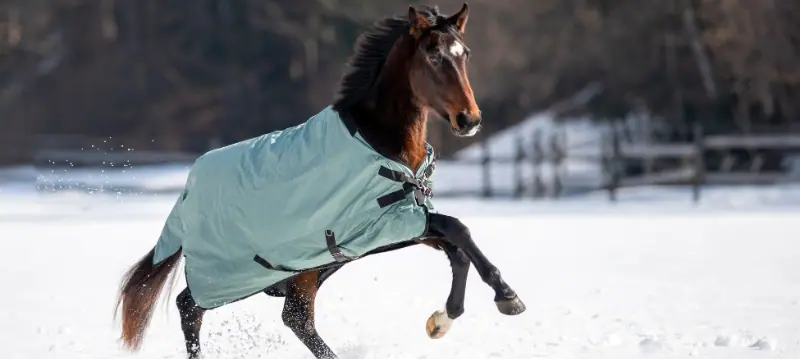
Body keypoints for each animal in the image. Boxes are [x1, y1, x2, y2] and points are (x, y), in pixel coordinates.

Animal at [112, 3, 524, 359]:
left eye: (464, 54)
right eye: (434, 56)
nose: (469, 120)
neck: (381, 143)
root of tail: (186, 193)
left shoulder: (399, 224)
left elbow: (457, 248)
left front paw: (442, 320)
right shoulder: (383, 223)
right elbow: (458, 229)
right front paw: (507, 297)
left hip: (296, 272)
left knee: (289, 318)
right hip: (236, 274)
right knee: (194, 308)